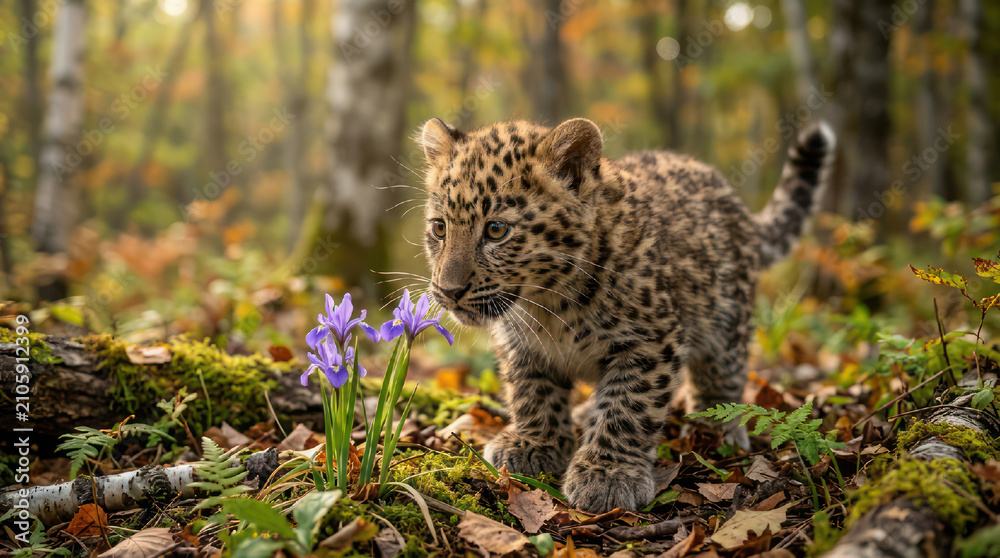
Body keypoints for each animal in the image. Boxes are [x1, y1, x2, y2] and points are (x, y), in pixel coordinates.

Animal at [416, 116, 835, 513]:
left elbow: (628, 407)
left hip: (726, 320)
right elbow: (532, 393)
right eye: (439, 228)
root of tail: (735, 204)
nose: (449, 292)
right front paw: (534, 444)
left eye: (497, 230)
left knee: (722, 377)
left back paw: (716, 429)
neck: (548, 304)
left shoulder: (650, 342)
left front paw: (608, 475)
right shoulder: (523, 345)